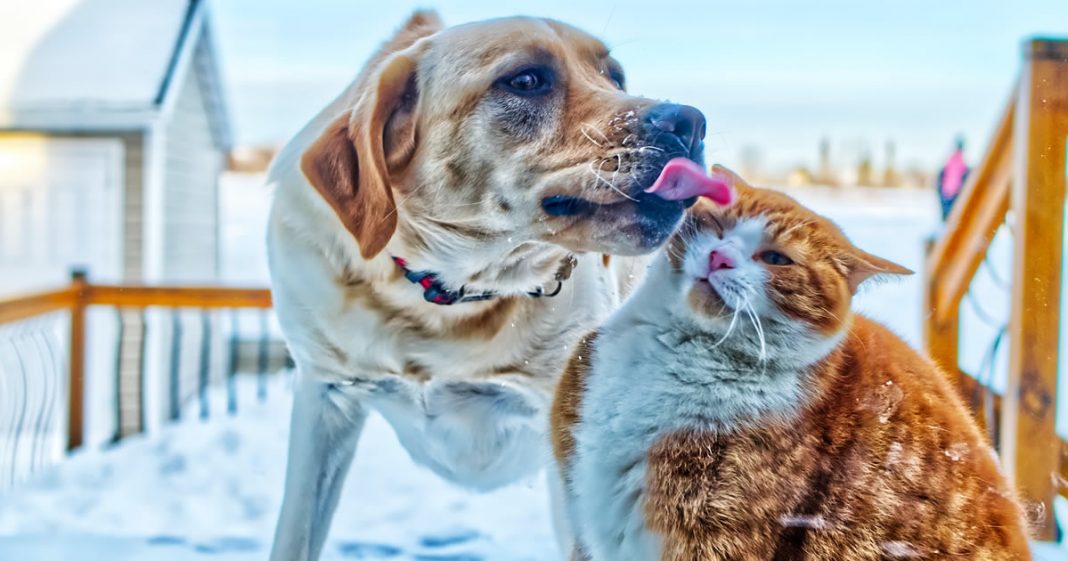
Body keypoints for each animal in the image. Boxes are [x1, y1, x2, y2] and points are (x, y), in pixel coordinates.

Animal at [267, 9, 709, 559]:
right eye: (526, 81)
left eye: (616, 77)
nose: (692, 122)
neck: (451, 297)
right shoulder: (324, 398)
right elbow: (295, 533)